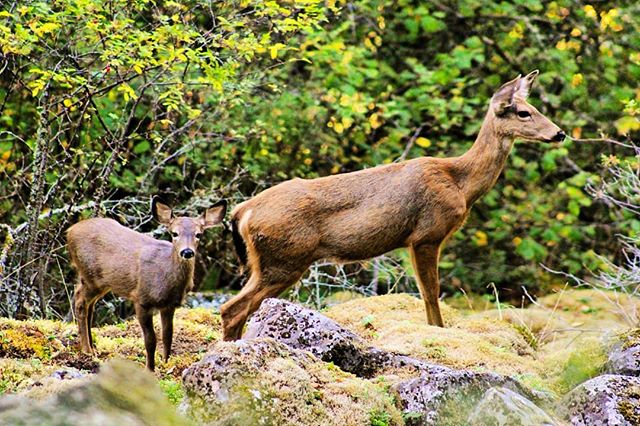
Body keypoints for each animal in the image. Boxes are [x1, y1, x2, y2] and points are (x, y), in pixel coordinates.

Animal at [67, 198, 227, 370]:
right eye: (174, 233)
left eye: (198, 234)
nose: (187, 252)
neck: (166, 280)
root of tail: (69, 231)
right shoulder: (141, 299)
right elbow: (150, 340)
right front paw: (150, 368)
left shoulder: (169, 305)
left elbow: (168, 335)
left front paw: (166, 362)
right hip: (89, 275)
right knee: (80, 301)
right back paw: (87, 351)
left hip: (101, 282)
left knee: (89, 305)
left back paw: (93, 346)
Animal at [221, 70, 565, 341]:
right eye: (523, 112)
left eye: (533, 107)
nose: (559, 133)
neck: (460, 182)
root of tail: (242, 212)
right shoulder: (427, 234)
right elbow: (431, 294)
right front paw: (437, 334)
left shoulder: (415, 241)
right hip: (284, 259)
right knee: (231, 309)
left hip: (269, 262)